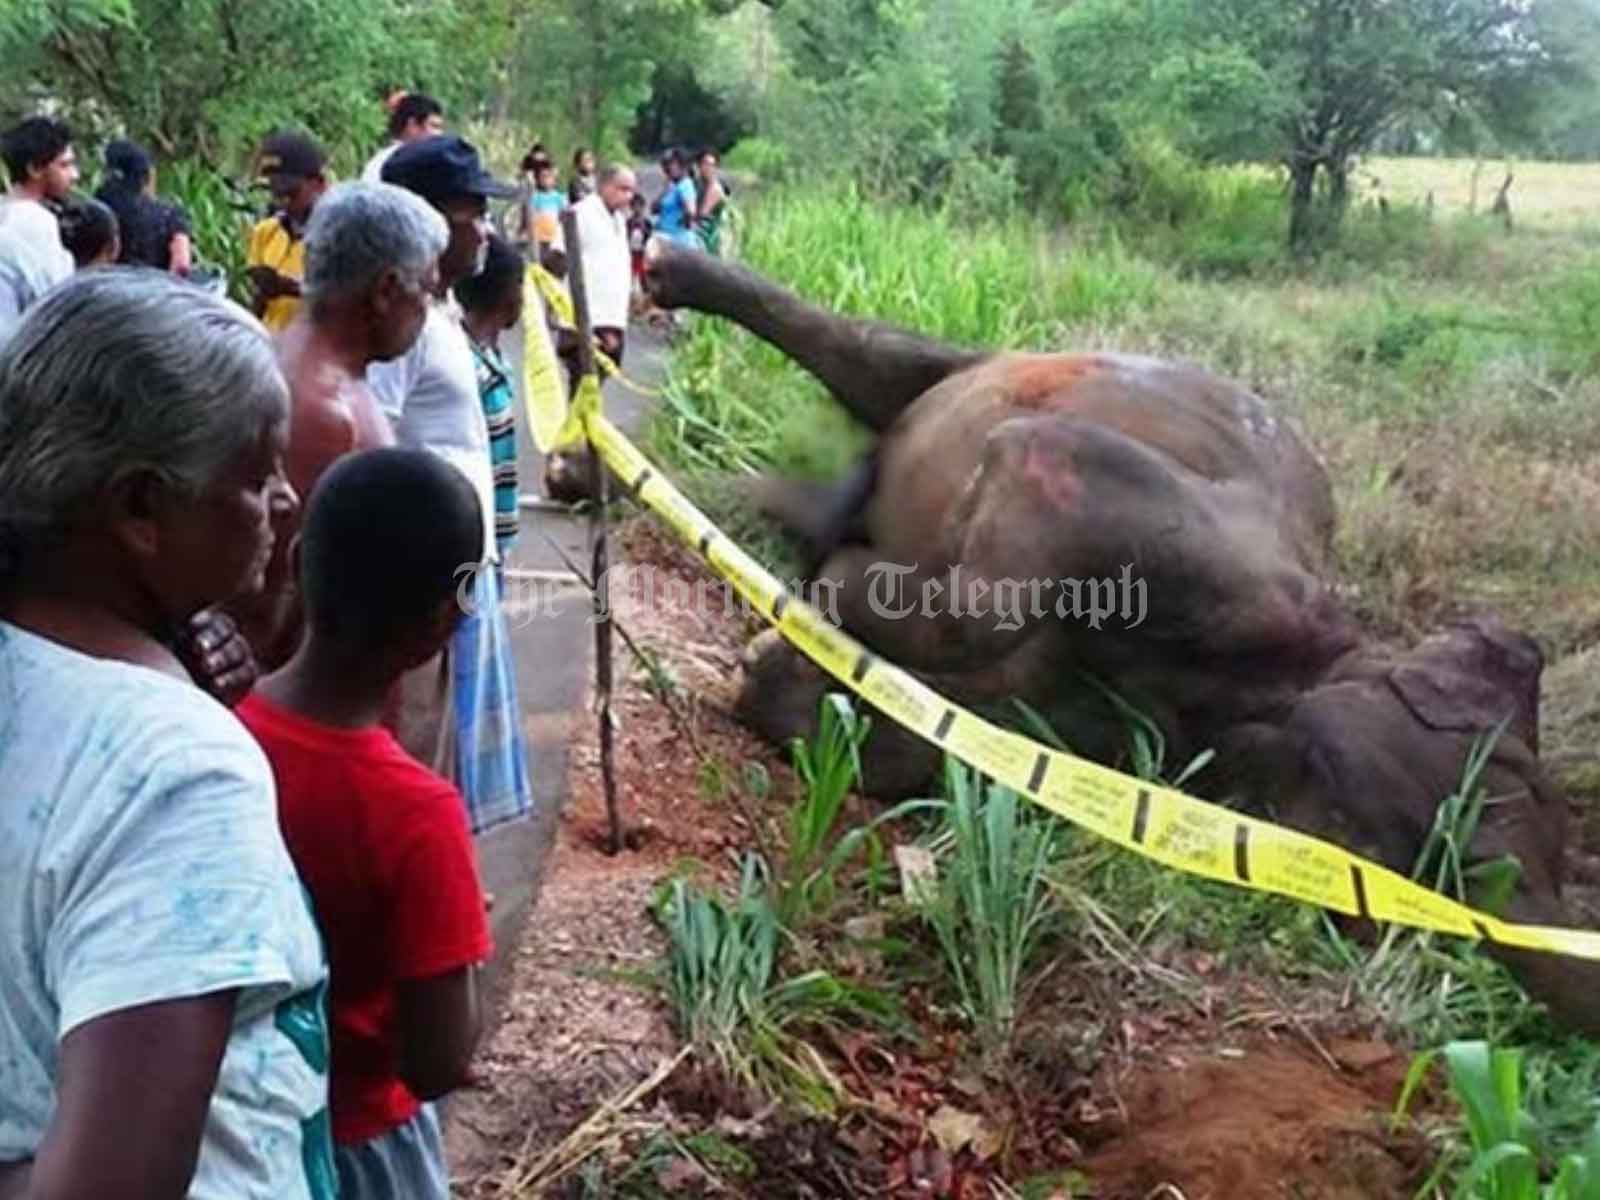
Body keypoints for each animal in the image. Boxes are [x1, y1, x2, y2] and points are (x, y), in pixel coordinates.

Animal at [640, 243, 1599, 1033]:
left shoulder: (1096, 732)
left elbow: (918, 737)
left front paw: (787, 663)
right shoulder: (1117, 500)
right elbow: (980, 587)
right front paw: (833, 574)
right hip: (994, 369)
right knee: (876, 356)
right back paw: (674, 280)